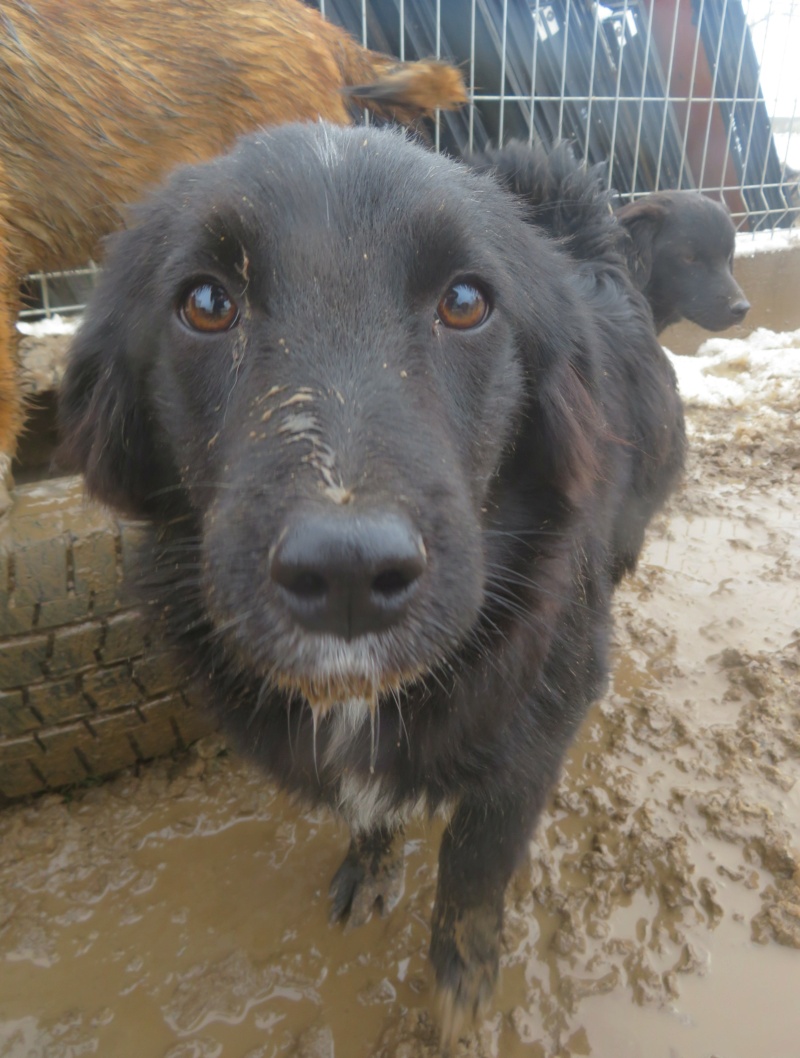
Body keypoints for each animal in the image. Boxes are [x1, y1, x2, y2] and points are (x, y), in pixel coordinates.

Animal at [59, 125, 685, 1041]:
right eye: (206, 302)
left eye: (465, 301)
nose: (347, 572)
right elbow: (368, 809)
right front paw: (372, 867)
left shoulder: (528, 747)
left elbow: (471, 872)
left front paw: (461, 990)